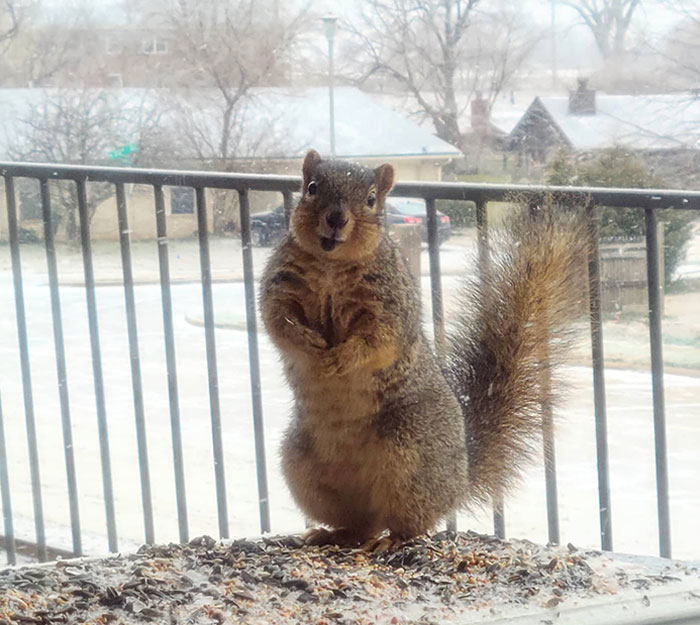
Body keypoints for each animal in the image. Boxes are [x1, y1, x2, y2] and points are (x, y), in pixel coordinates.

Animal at [260, 149, 588, 548]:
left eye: (371, 199)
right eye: (311, 187)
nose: (337, 219)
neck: (331, 264)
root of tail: (460, 480)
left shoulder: (390, 304)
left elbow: (378, 341)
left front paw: (341, 356)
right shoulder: (279, 286)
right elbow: (278, 323)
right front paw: (308, 341)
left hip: (410, 452)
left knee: (409, 522)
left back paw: (393, 539)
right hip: (302, 465)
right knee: (361, 524)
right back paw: (331, 533)